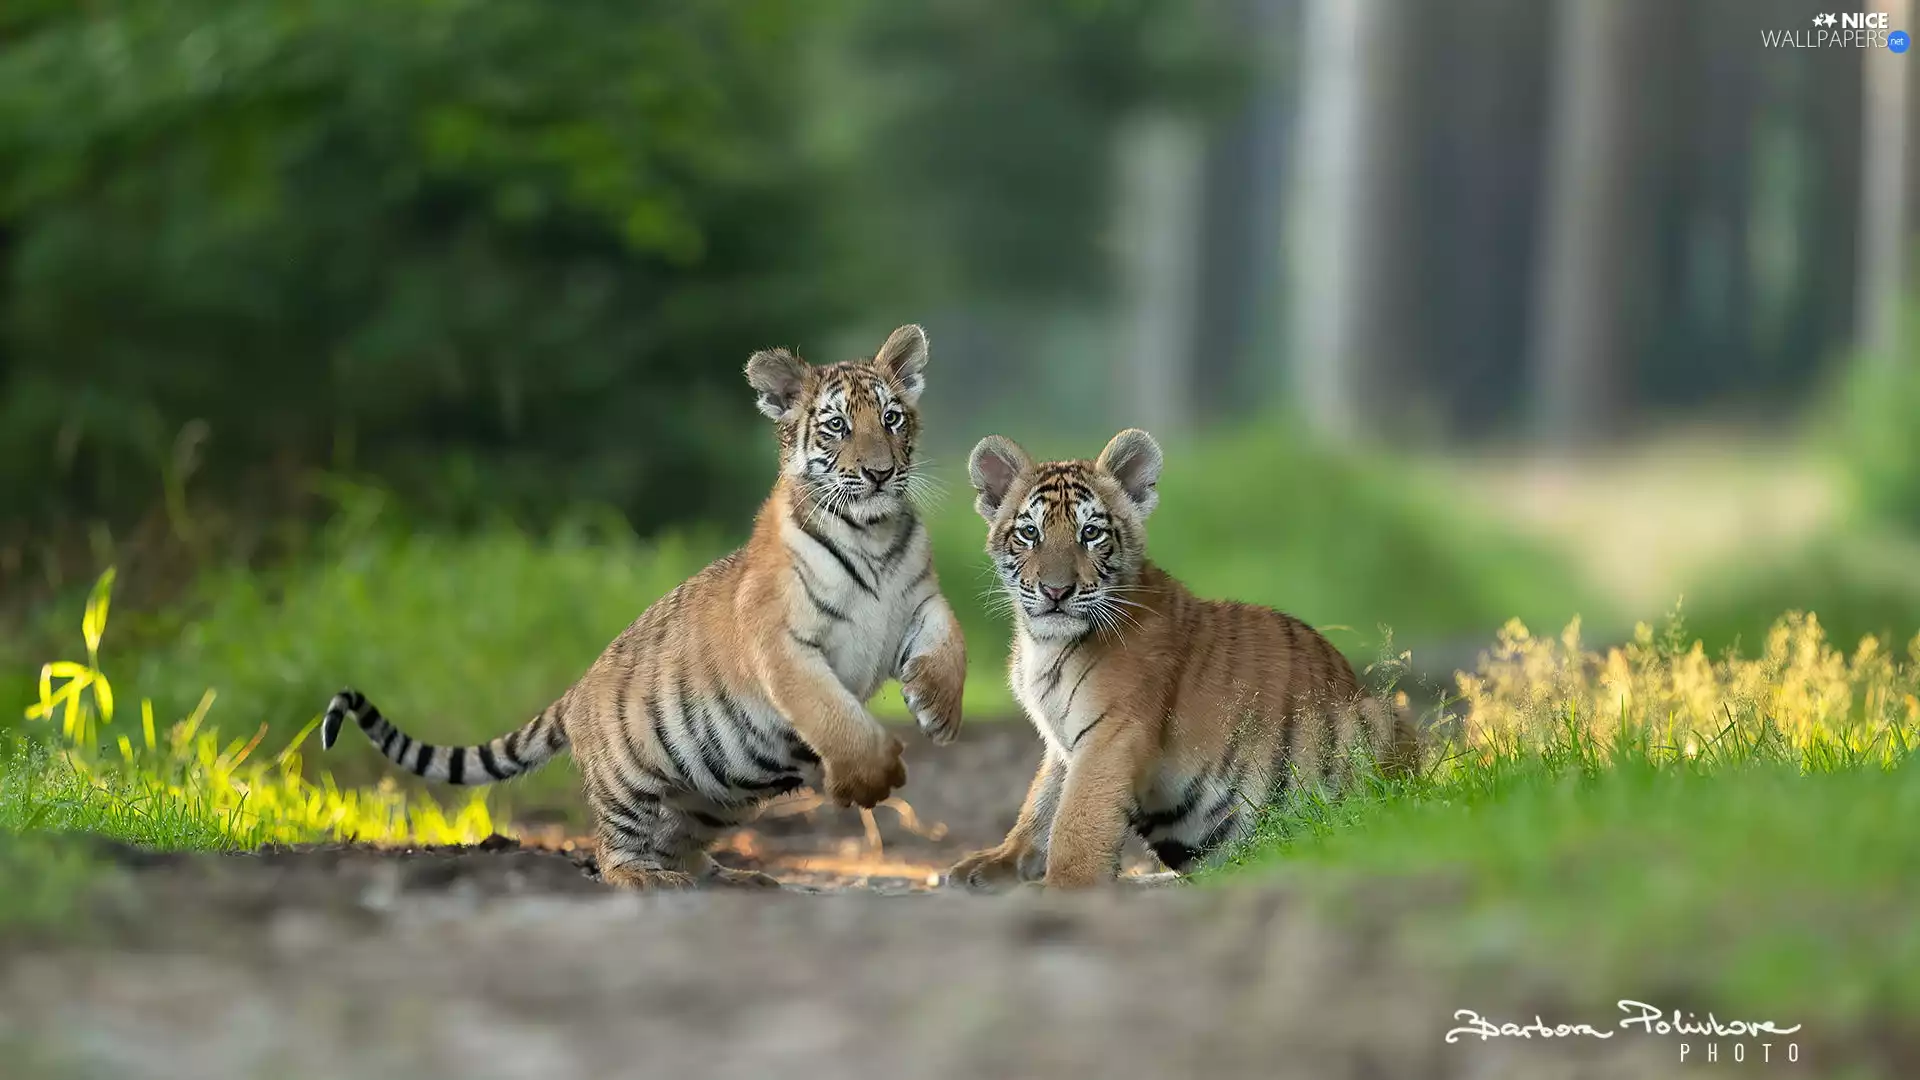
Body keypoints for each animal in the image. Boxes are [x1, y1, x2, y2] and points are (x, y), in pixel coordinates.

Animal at [319, 324, 967, 890]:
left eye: (891, 417)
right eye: (835, 426)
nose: (880, 473)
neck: (872, 534)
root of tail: (577, 690)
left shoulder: (918, 601)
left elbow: (950, 641)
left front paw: (937, 710)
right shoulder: (782, 644)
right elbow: (830, 711)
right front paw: (873, 775)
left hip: (715, 799)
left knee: (684, 842)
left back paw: (735, 878)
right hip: (632, 785)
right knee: (614, 851)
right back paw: (651, 880)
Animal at [945, 428, 1418, 889]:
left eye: (1091, 533)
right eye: (1029, 533)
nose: (1056, 591)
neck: (1044, 644)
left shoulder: (1112, 732)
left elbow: (1077, 817)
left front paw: (1067, 883)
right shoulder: (1062, 742)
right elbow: (1042, 804)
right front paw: (994, 864)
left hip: (1378, 718)